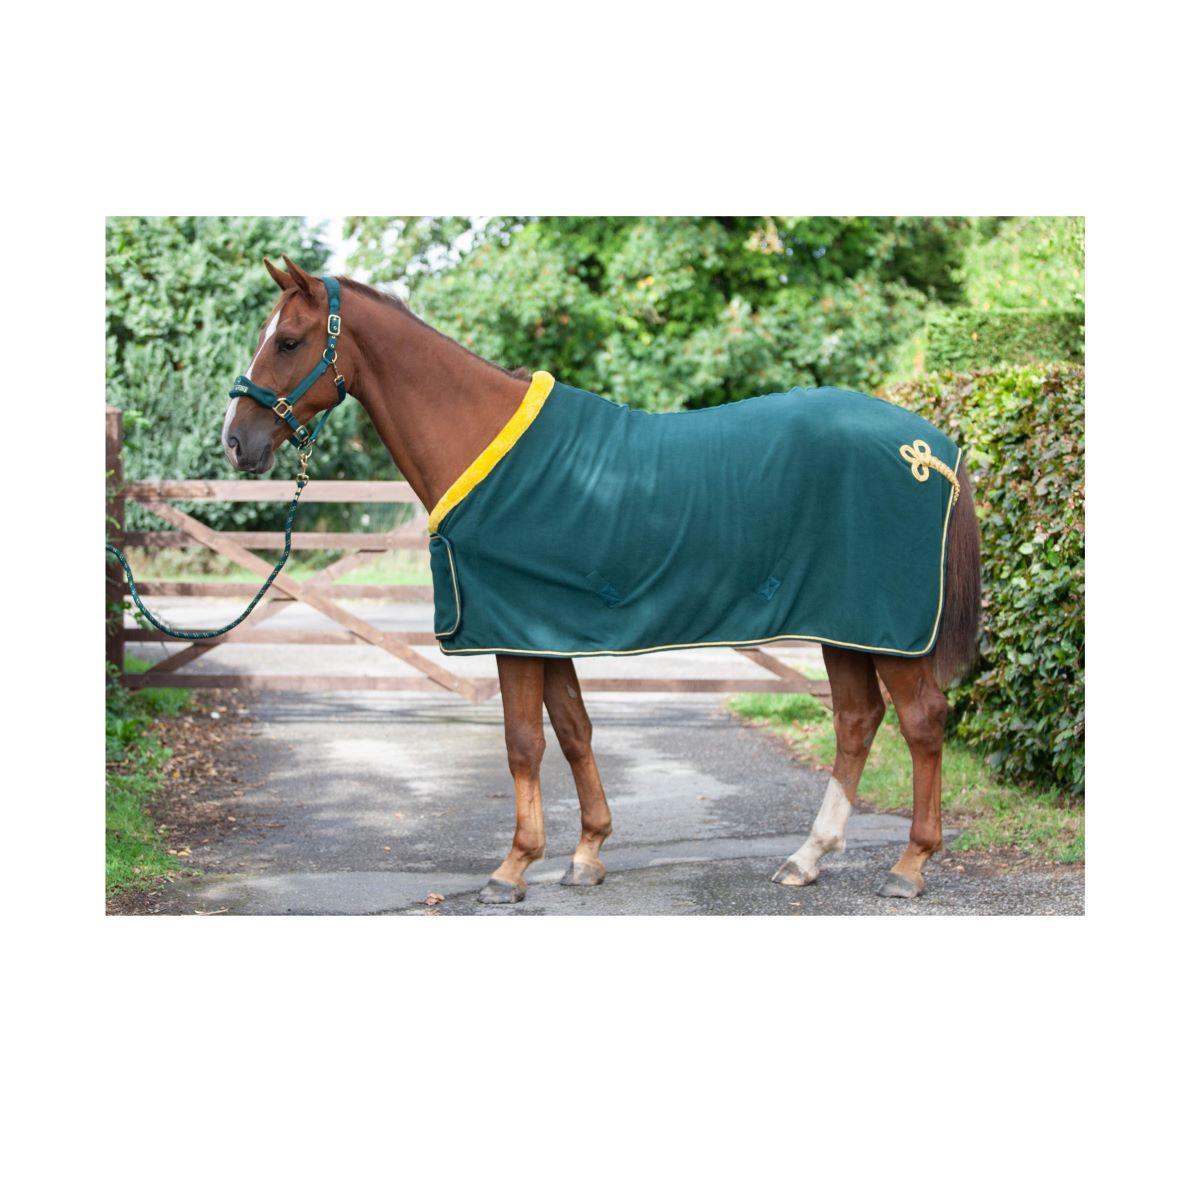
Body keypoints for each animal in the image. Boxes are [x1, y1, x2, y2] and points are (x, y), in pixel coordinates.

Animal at [221, 256, 981, 904]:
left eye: (287, 341)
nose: (235, 441)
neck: (480, 437)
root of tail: (931, 451)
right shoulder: (543, 630)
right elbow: (574, 730)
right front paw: (587, 854)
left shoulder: (514, 634)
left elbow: (523, 743)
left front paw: (512, 869)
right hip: (845, 624)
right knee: (857, 720)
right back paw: (807, 858)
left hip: (883, 626)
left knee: (920, 719)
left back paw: (910, 866)